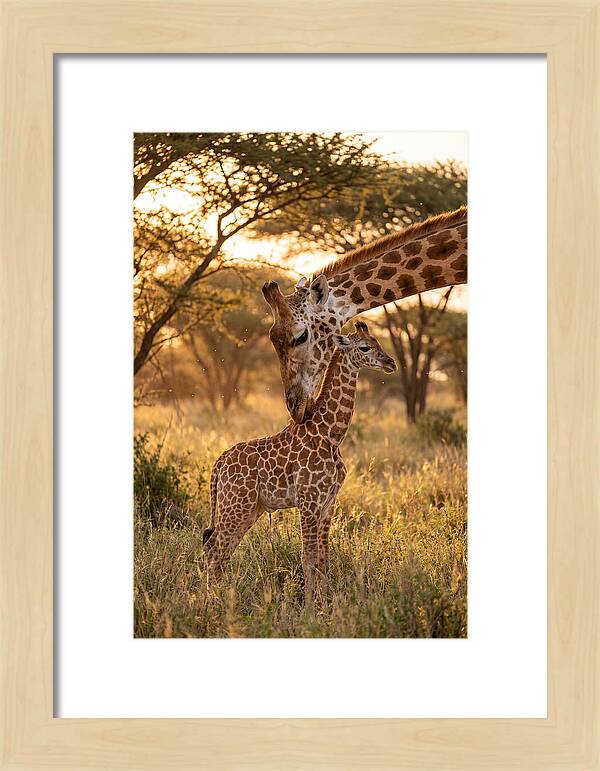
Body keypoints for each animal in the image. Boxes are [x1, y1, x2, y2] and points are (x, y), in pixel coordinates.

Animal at [203, 321, 396, 603]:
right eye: (365, 347)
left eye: (378, 342)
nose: (391, 363)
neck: (331, 434)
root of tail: (219, 464)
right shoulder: (308, 500)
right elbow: (308, 558)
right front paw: (309, 607)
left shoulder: (328, 503)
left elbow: (324, 559)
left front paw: (324, 604)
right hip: (235, 504)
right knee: (214, 549)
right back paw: (210, 603)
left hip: (250, 508)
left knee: (221, 549)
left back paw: (219, 598)